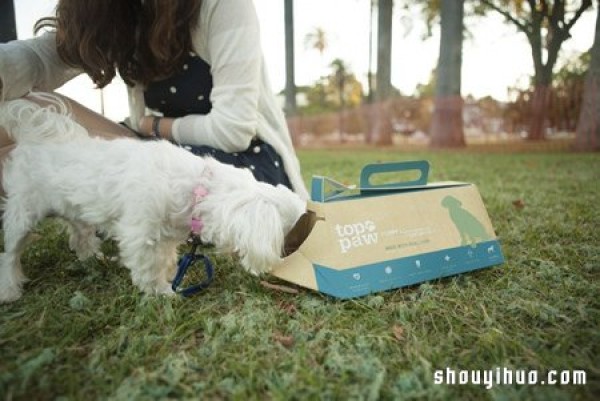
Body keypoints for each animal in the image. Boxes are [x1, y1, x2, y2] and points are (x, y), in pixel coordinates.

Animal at [0, 97, 304, 302]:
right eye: (289, 234)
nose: (287, 256)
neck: (198, 188)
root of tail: (37, 139)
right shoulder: (140, 232)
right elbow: (149, 265)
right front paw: (163, 291)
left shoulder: (166, 235)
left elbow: (165, 258)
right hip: (23, 212)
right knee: (11, 253)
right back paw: (10, 289)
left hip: (74, 211)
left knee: (80, 236)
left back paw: (91, 258)